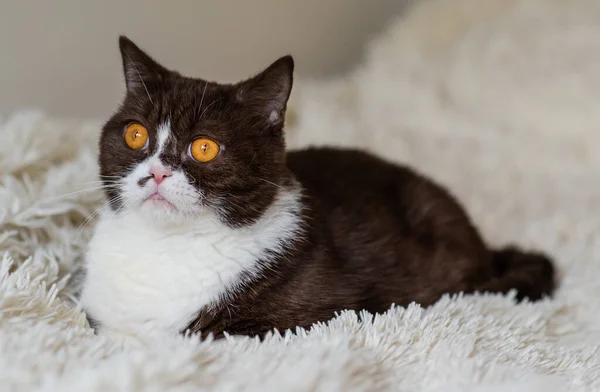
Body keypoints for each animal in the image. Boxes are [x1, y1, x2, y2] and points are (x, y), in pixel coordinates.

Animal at [79, 36, 556, 344]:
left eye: (205, 147)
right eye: (136, 135)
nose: (157, 173)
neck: (164, 246)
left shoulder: (307, 321)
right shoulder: (100, 322)